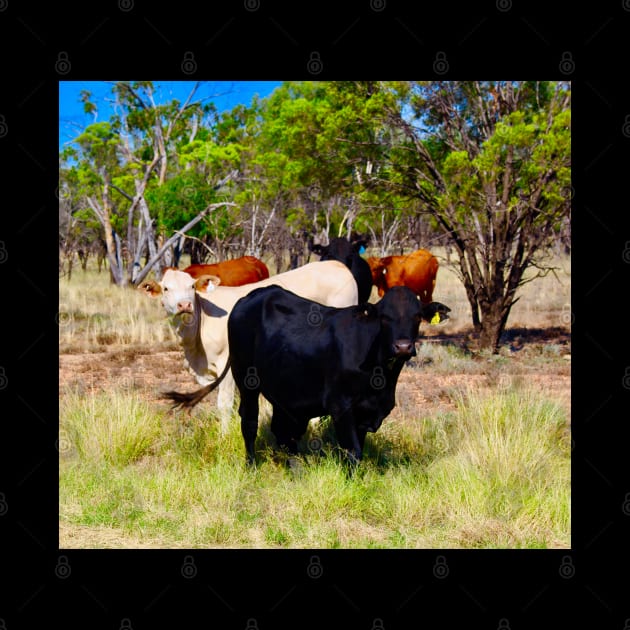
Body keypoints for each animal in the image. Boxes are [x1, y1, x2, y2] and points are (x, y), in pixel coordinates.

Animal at [230, 284, 452, 466]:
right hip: (246, 382)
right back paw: (251, 466)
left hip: (284, 389)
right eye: (384, 318)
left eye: (417, 317)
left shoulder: (367, 411)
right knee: (249, 423)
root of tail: (255, 295)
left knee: (283, 432)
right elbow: (352, 452)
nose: (403, 346)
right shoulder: (341, 406)